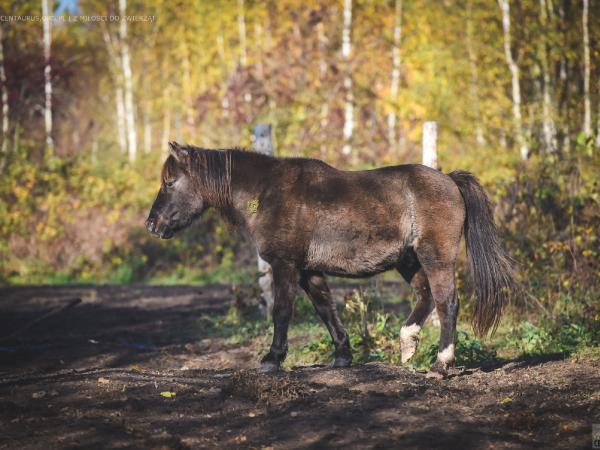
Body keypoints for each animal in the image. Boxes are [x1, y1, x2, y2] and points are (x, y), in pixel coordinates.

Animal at [146, 142, 516, 374]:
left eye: (169, 182)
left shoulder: (285, 265)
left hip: (435, 256)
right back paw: (408, 345)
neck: (267, 193)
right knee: (425, 296)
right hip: (407, 260)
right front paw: (342, 355)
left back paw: (441, 365)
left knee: (446, 302)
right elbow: (326, 310)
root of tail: (450, 180)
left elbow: (282, 312)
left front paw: (272, 359)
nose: (152, 225)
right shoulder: (308, 271)